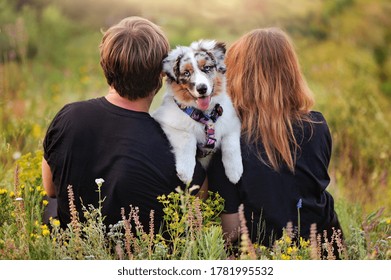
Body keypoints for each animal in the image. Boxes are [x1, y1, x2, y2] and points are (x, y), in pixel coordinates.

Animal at [152, 38, 242, 184]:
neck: (205, 116)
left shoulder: (232, 122)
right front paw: (186, 172)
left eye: (207, 68)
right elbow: (188, 138)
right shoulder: (167, 122)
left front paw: (234, 172)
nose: (202, 89)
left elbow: (231, 144)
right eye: (186, 73)